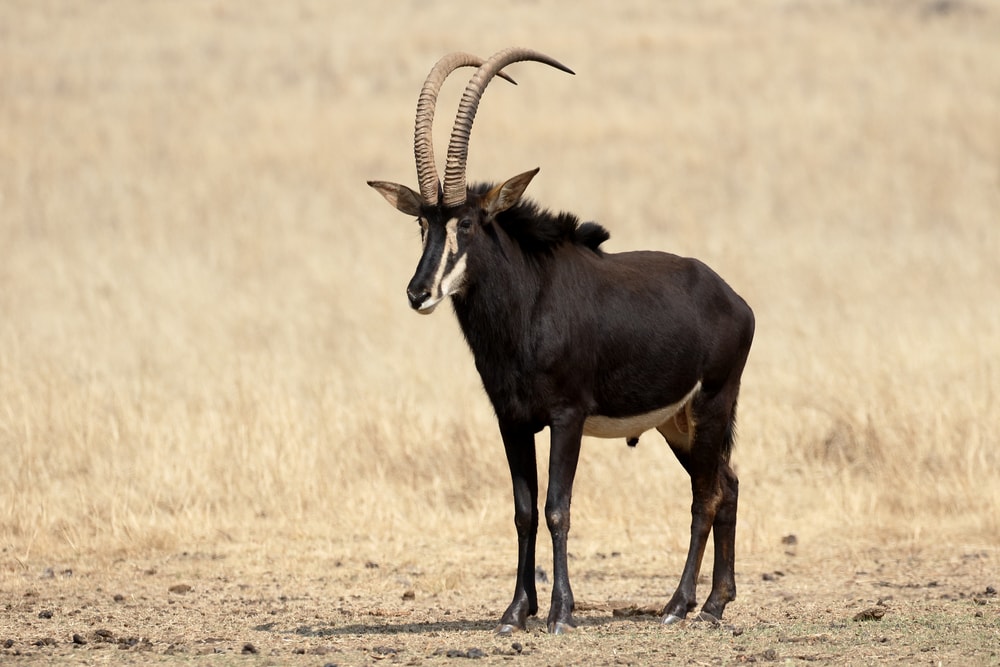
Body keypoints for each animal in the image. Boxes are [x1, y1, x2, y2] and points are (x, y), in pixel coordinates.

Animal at [368, 48, 754, 635]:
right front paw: (514, 611)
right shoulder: (511, 420)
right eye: (423, 225)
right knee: (726, 485)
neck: (528, 305)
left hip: (712, 404)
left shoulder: (566, 418)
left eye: (469, 224)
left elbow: (557, 507)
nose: (419, 292)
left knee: (705, 496)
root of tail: (734, 299)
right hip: (676, 423)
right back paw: (715, 600)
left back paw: (683, 605)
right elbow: (523, 509)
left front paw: (560, 612)